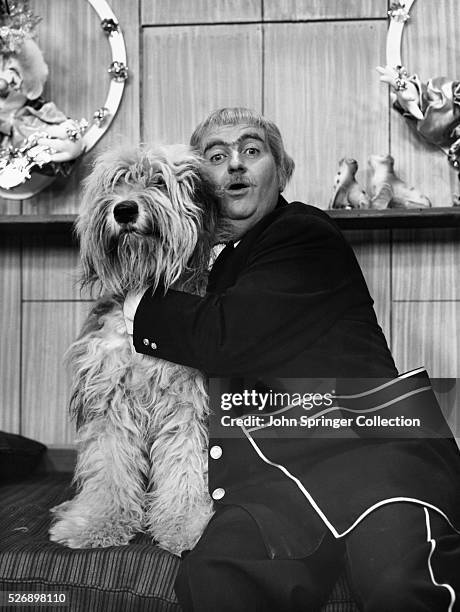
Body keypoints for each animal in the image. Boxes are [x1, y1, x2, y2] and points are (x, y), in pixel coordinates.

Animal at [48, 145, 217, 556]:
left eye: (158, 181)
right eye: (115, 183)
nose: (124, 210)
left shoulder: (187, 404)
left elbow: (186, 467)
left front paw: (186, 526)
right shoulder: (108, 401)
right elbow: (109, 467)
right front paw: (98, 523)